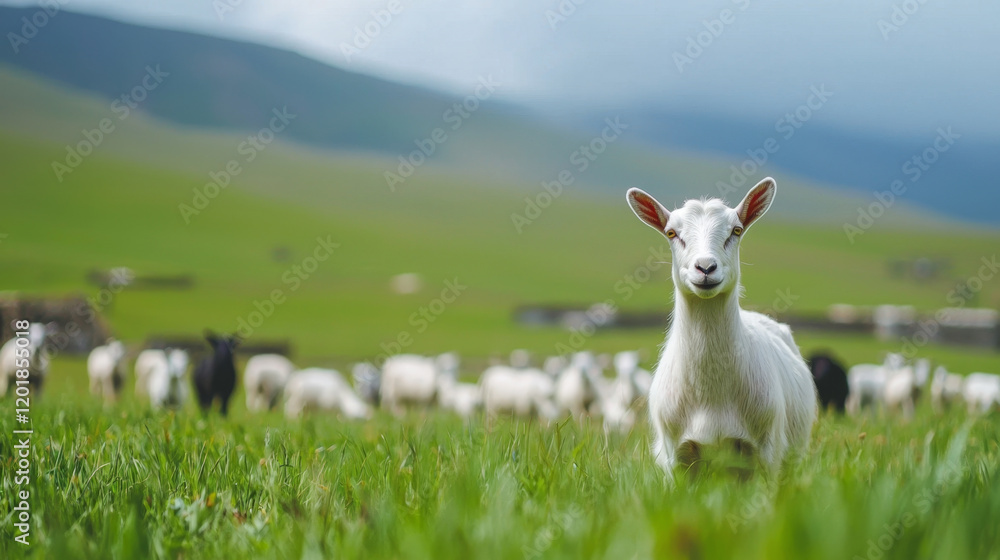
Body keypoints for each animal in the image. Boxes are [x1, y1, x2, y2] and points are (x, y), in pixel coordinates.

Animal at [625, 177, 816, 481]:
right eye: (671, 233)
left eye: (736, 230)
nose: (705, 267)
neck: (711, 395)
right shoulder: (674, 459)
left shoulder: (767, 453)